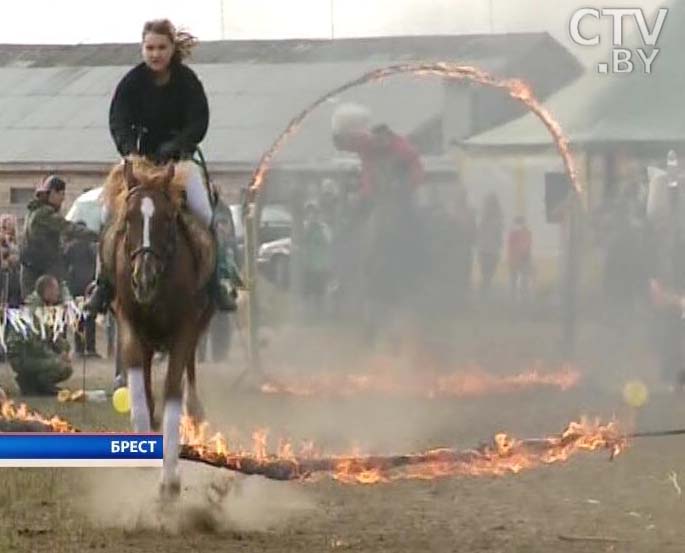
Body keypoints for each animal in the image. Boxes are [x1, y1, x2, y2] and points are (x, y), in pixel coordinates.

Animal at [99, 156, 215, 496]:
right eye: (129, 218)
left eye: (166, 219)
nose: (144, 278)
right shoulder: (129, 324)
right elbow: (139, 388)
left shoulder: (185, 329)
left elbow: (173, 390)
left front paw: (170, 478)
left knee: (188, 378)